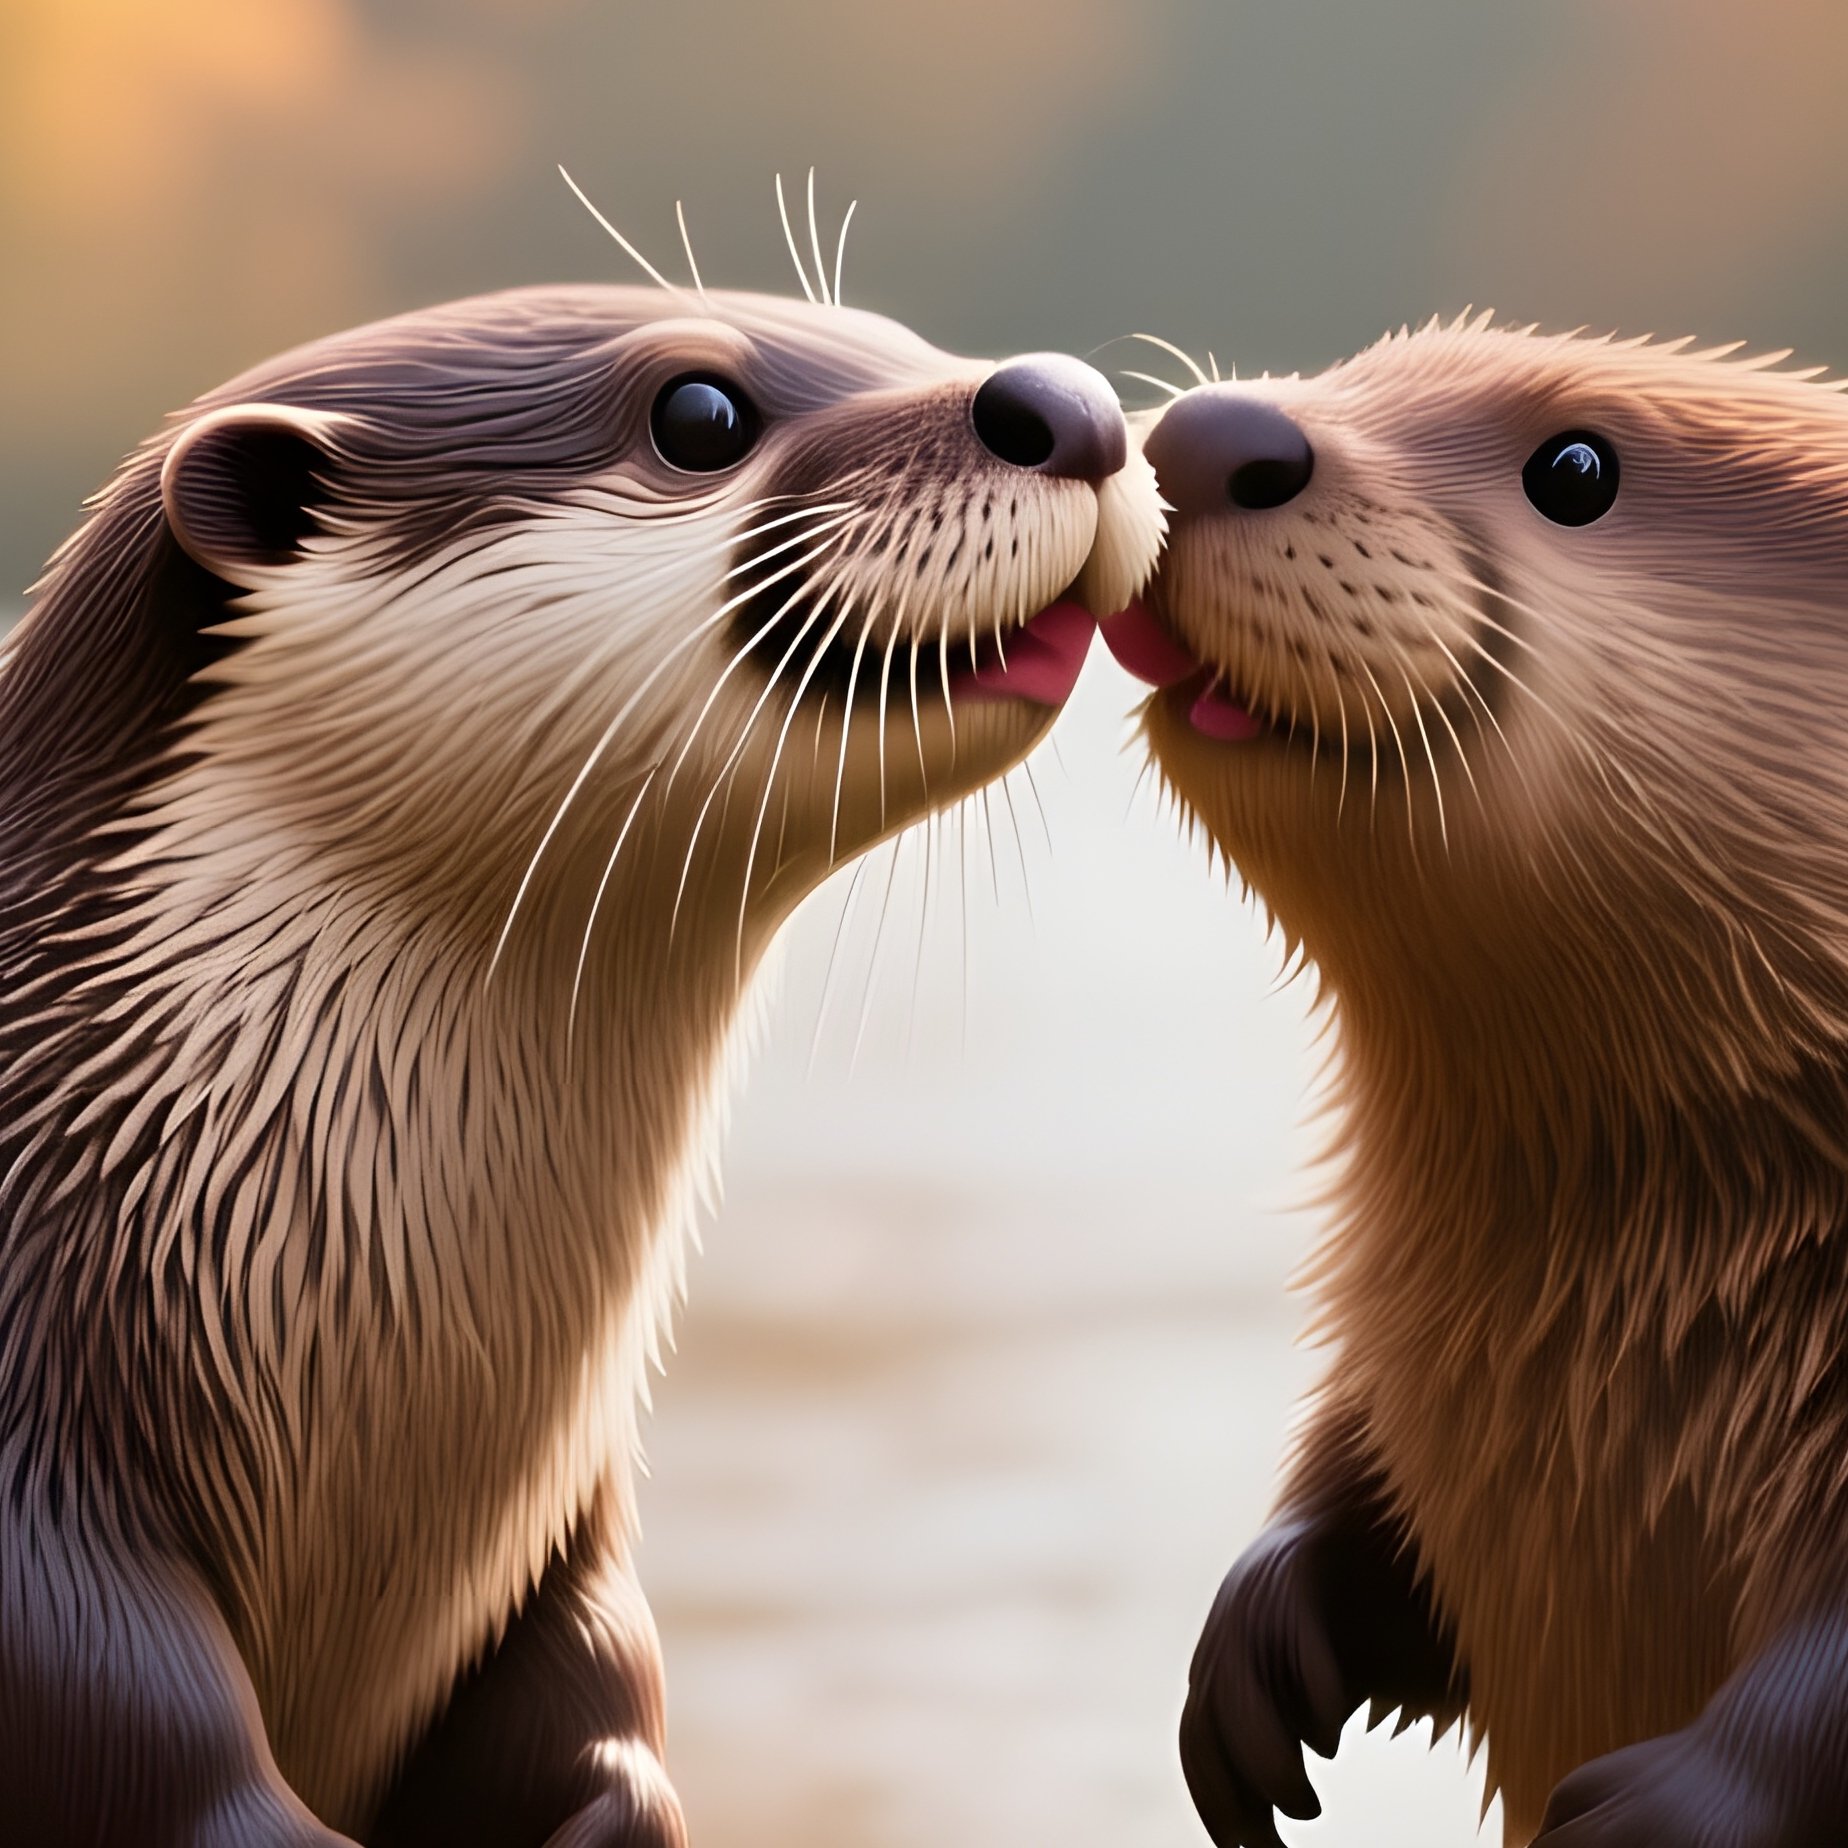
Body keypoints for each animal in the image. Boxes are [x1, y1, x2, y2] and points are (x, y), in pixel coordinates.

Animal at [0, 278, 1162, 1847]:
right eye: (699, 413)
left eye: (896, 337)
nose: (1067, 403)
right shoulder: (37, 1508)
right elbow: (133, 1730)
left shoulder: (564, 1539)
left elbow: (599, 1676)